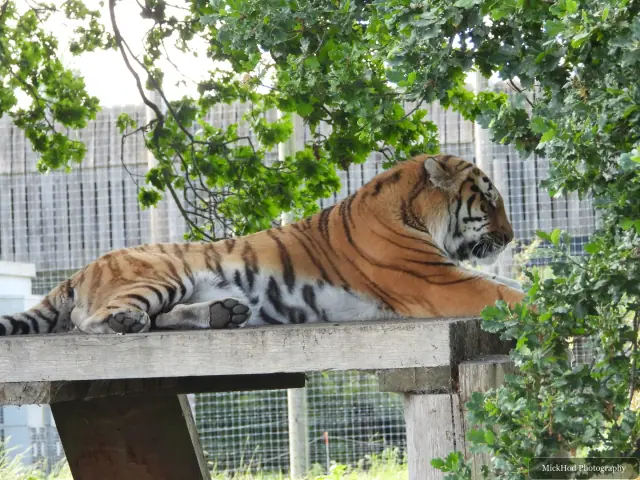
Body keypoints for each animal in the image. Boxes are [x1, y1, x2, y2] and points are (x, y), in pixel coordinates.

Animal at [0, 154, 527, 336]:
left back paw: (222, 313)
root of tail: (81, 269)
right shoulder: (440, 280)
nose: (511, 236)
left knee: (164, 316)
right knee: (87, 321)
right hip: (163, 275)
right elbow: (508, 293)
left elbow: (509, 286)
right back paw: (126, 323)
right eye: (490, 199)